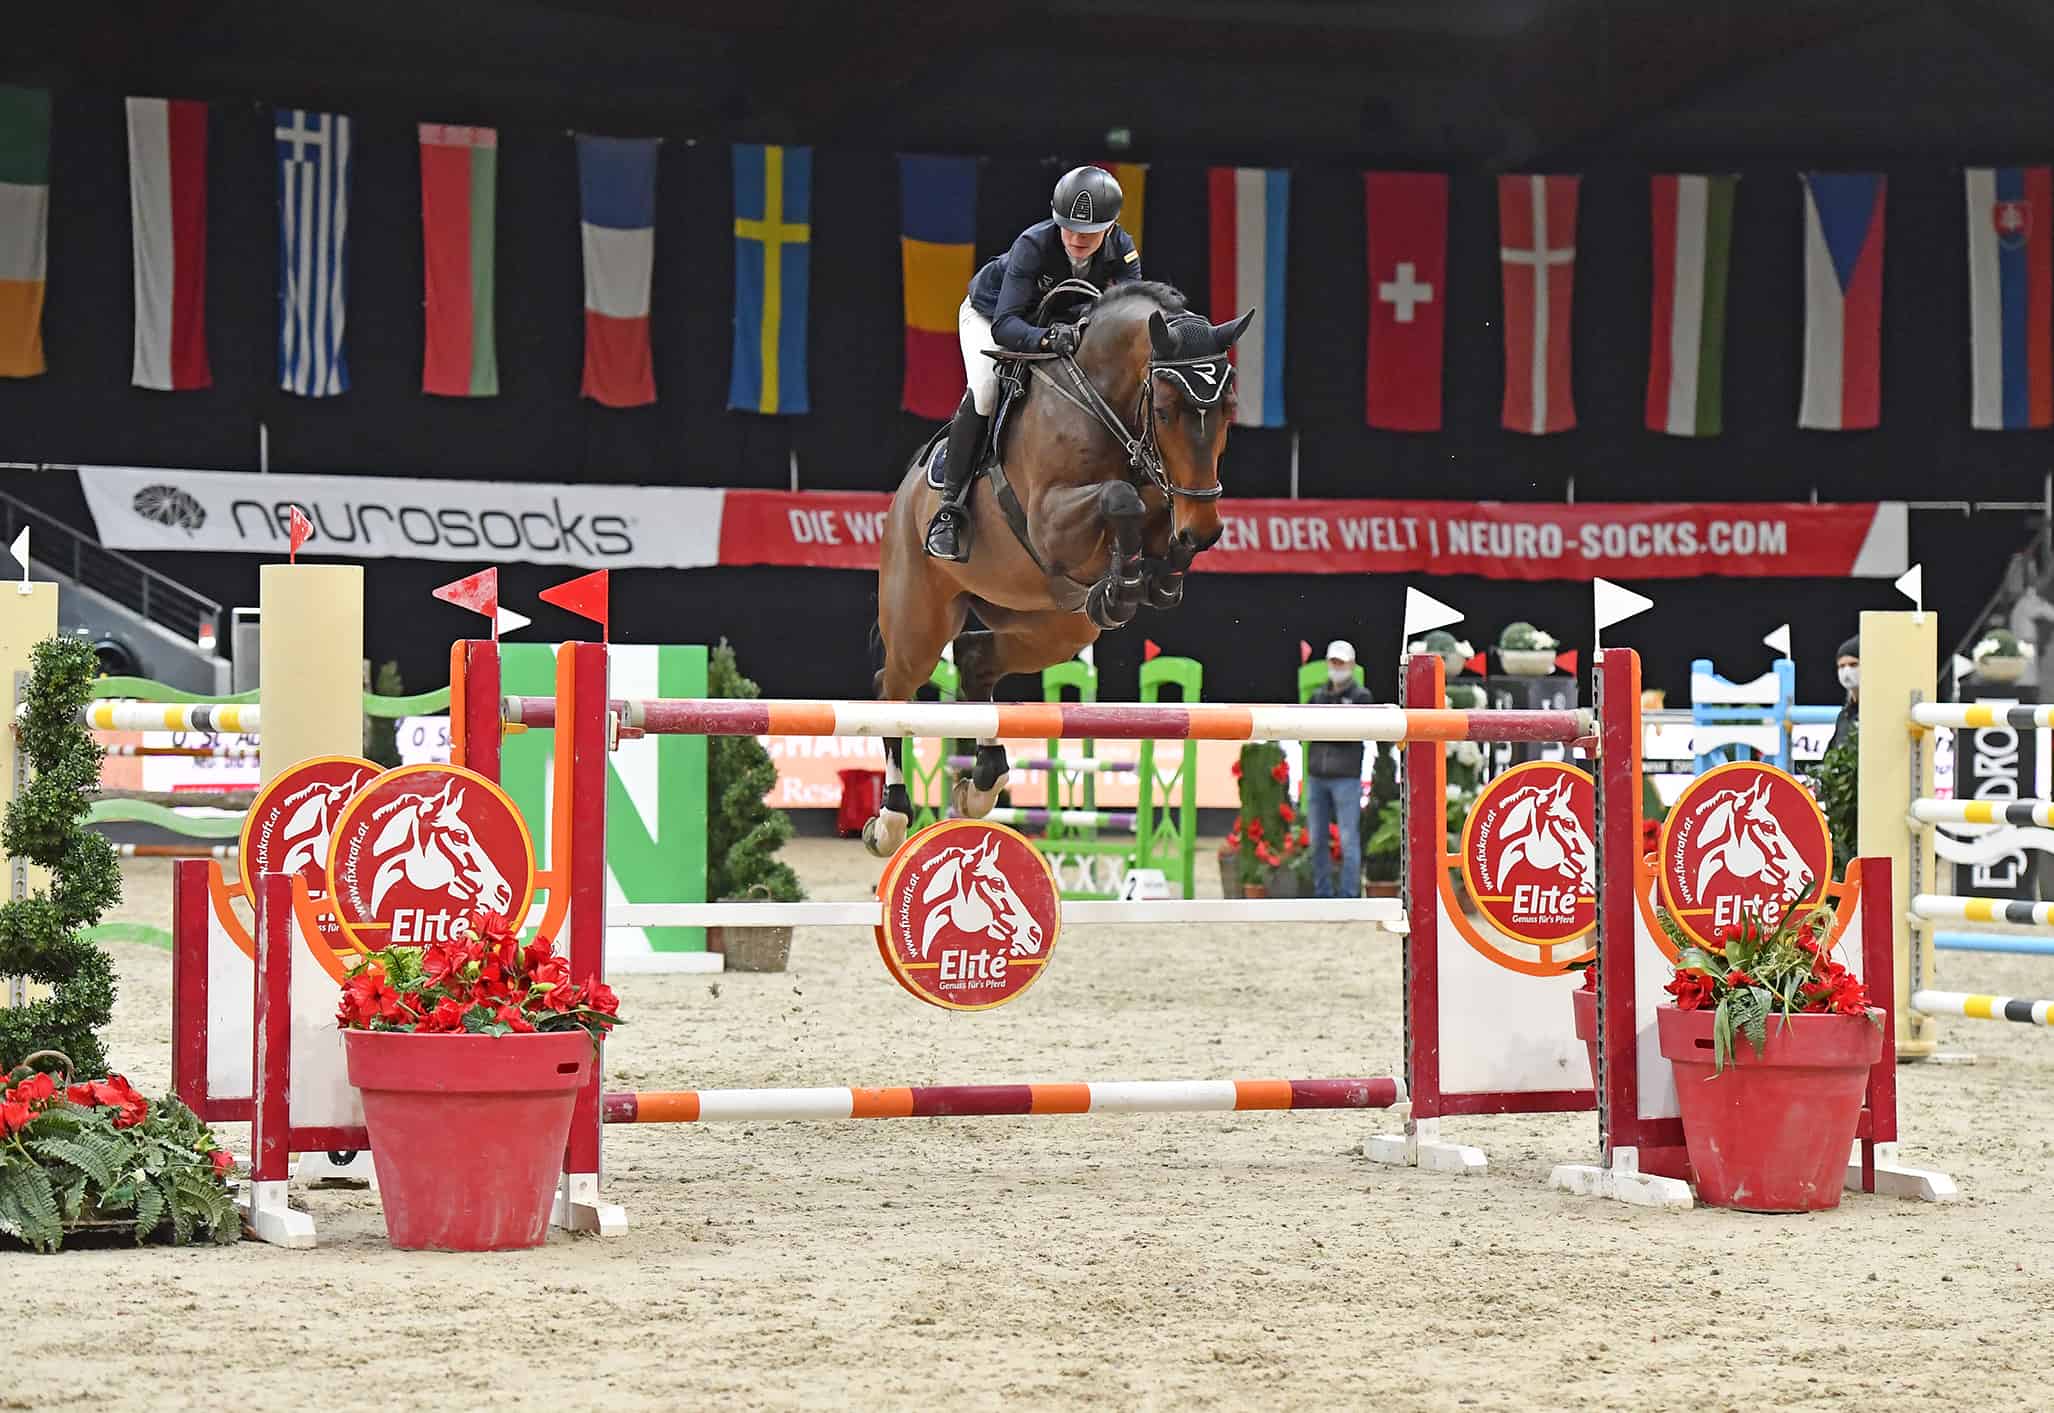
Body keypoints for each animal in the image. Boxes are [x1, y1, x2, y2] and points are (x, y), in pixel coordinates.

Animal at [858, 275, 1240, 850]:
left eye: (1227, 411)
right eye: (1165, 411)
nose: (1205, 529)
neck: (1102, 403)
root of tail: (904, 498)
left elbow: (1150, 510)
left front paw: (1148, 580)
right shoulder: (1050, 520)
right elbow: (1121, 498)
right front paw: (1123, 585)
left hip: (1054, 627)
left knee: (975, 659)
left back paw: (981, 786)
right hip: (920, 620)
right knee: (892, 686)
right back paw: (892, 817)